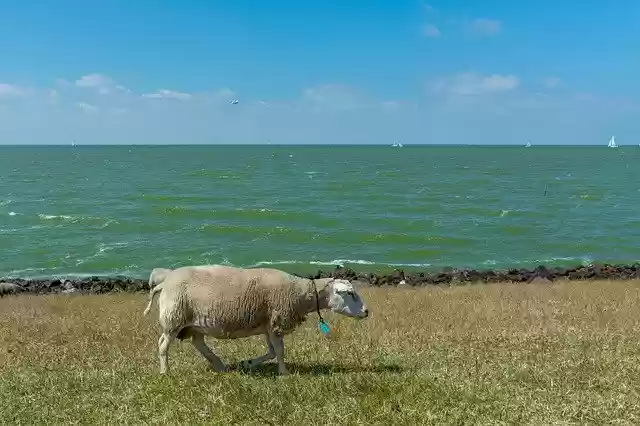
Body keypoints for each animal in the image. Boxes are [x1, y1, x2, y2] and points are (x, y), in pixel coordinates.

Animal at [144, 265, 370, 375]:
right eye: (350, 293)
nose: (367, 312)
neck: (300, 293)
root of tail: (163, 283)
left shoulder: (269, 324)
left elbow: (271, 352)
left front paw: (248, 363)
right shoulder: (276, 321)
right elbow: (279, 351)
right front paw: (284, 373)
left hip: (195, 323)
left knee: (198, 343)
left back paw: (220, 366)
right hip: (174, 318)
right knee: (163, 345)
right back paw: (165, 372)